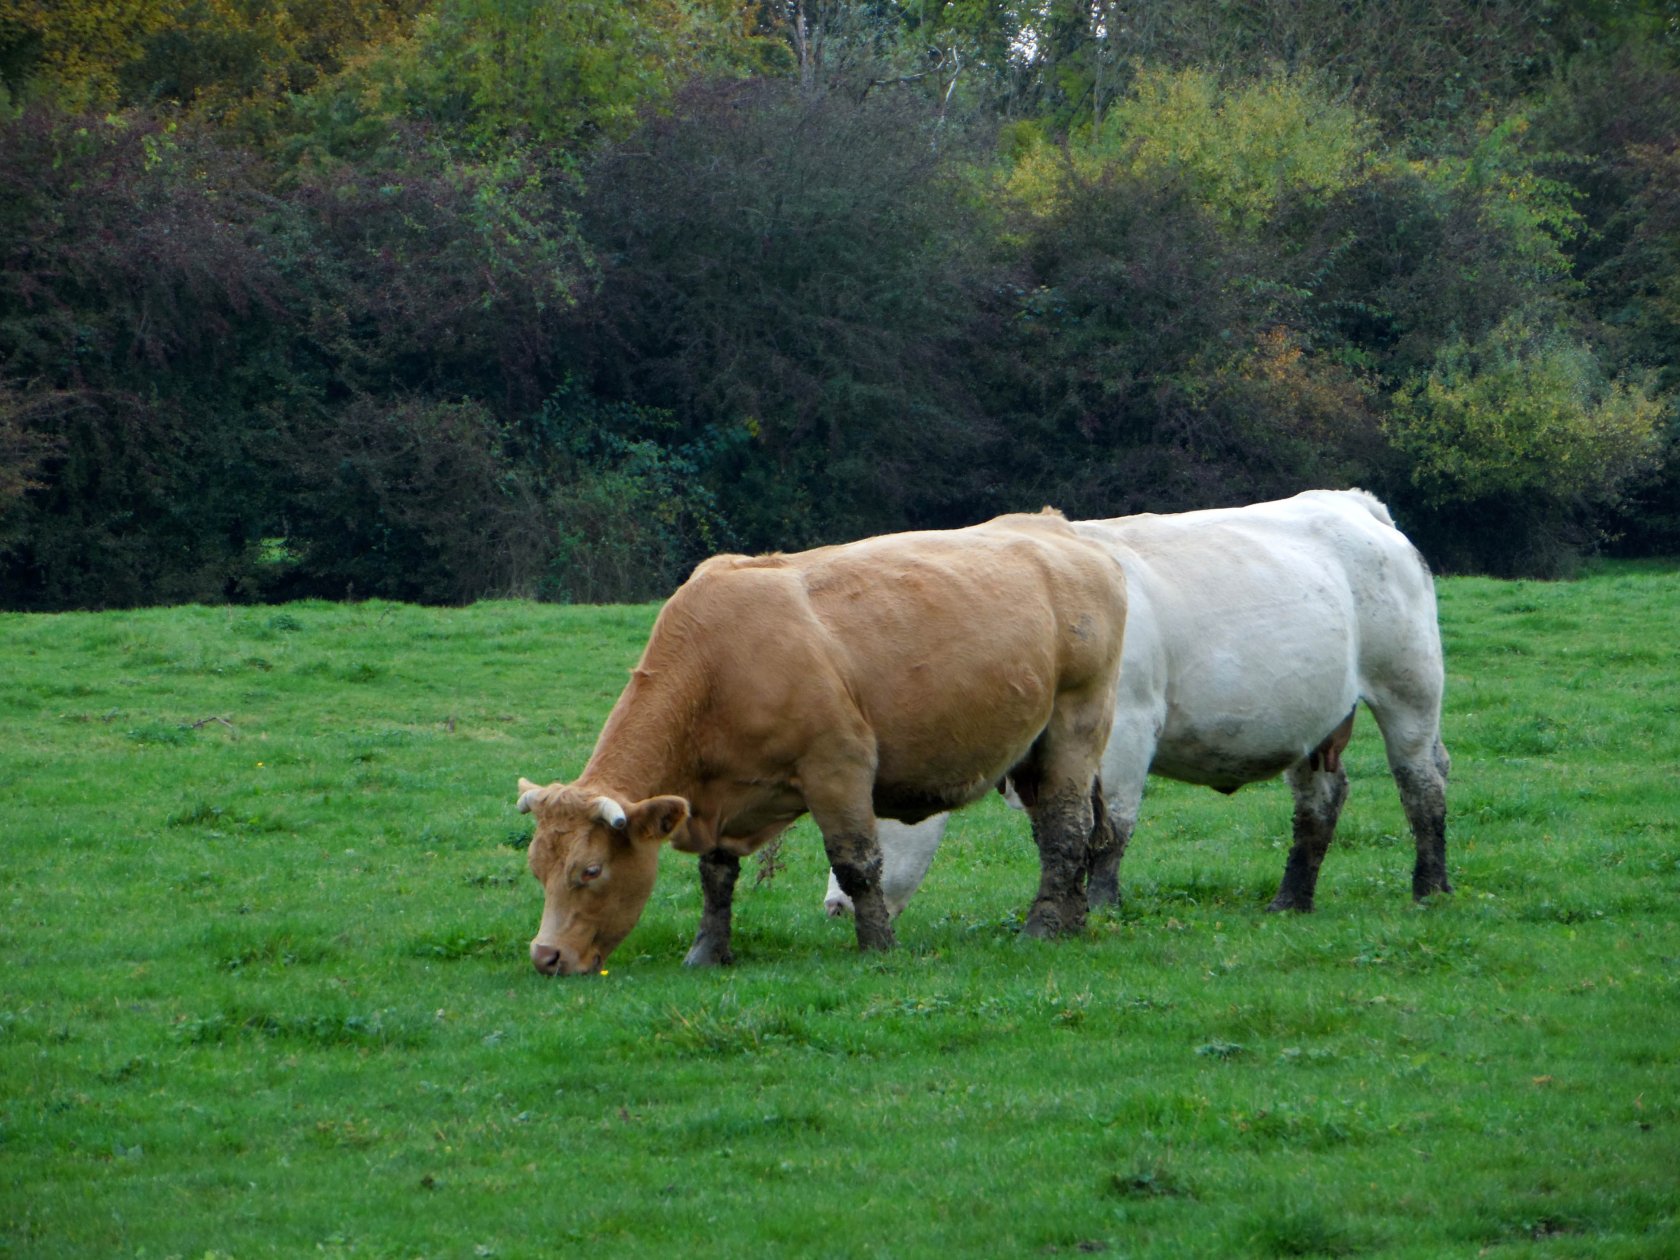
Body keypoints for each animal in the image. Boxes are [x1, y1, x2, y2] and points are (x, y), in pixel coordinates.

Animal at [510, 510, 1128, 974]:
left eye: (590, 871)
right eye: (538, 869)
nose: (545, 956)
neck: (718, 661)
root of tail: (1053, 526)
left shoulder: (837, 766)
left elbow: (857, 863)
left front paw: (878, 946)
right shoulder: (717, 797)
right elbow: (716, 876)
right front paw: (707, 951)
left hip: (1076, 723)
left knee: (1066, 830)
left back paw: (1042, 928)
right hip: (1034, 750)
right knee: (1065, 831)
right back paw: (1071, 921)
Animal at [819, 490, 1451, 920]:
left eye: (877, 807)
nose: (835, 905)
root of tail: (1352, 502)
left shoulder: (1124, 728)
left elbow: (1110, 826)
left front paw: (1100, 907)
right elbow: (1062, 825)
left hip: (1411, 690)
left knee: (1422, 784)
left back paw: (1431, 888)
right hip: (1315, 721)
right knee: (1320, 802)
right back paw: (1290, 900)